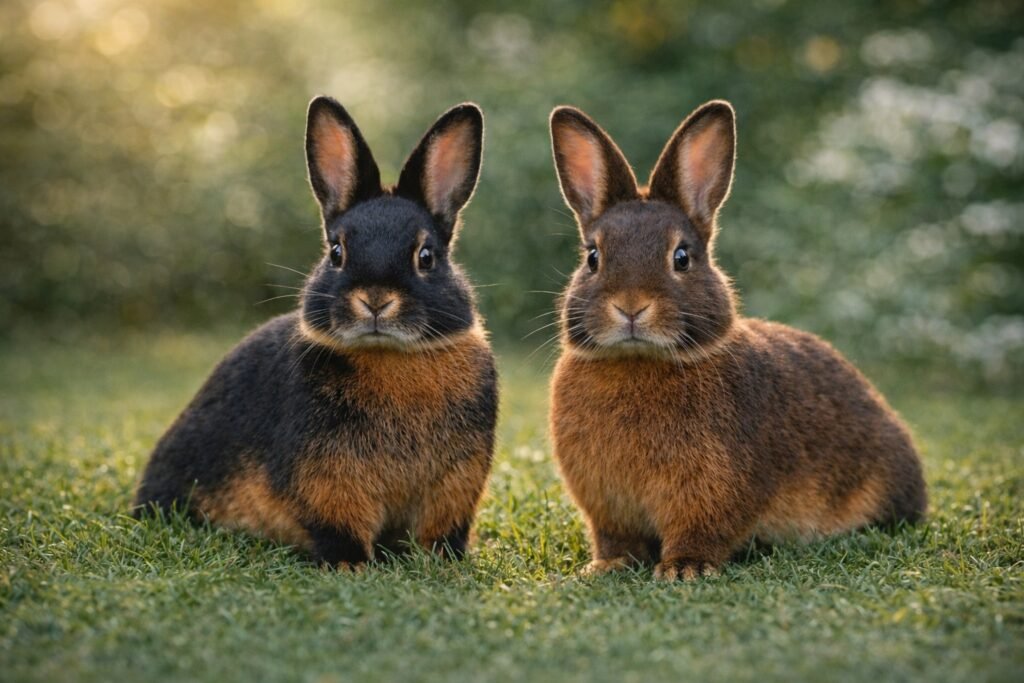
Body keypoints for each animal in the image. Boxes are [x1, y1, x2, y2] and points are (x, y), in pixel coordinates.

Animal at [133, 96, 498, 568]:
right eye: (336, 252)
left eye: (426, 256)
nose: (375, 299)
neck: (390, 356)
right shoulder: (328, 482)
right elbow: (340, 528)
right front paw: (351, 566)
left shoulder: (455, 484)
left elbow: (440, 531)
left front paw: (443, 562)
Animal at [547, 100, 927, 581]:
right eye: (593, 257)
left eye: (682, 257)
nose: (631, 307)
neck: (639, 359)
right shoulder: (608, 506)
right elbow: (617, 539)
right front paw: (606, 566)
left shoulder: (713, 491)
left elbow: (702, 530)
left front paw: (684, 569)